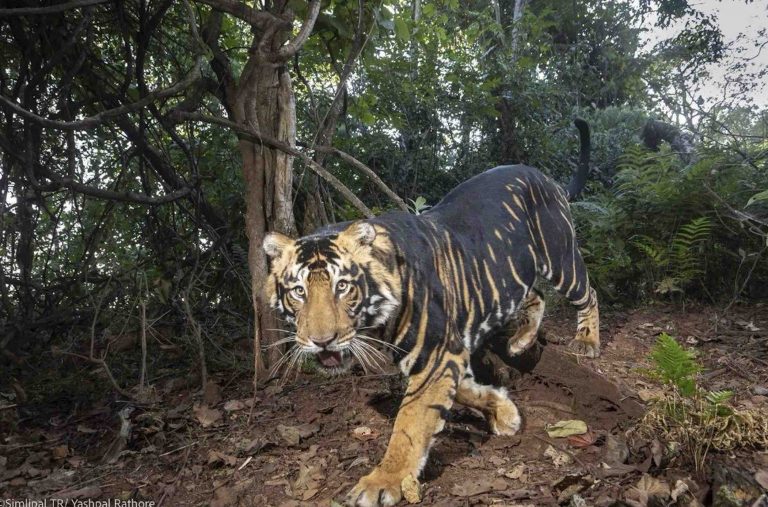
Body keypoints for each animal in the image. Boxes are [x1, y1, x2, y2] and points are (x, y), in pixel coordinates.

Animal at [263, 119, 599, 507]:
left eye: (343, 287)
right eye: (299, 291)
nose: (322, 341)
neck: (377, 323)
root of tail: (545, 177)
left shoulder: (437, 354)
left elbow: (410, 423)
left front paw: (383, 481)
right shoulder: (444, 355)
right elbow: (463, 390)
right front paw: (504, 412)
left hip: (561, 257)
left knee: (588, 293)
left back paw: (587, 341)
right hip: (513, 271)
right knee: (536, 296)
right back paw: (520, 341)